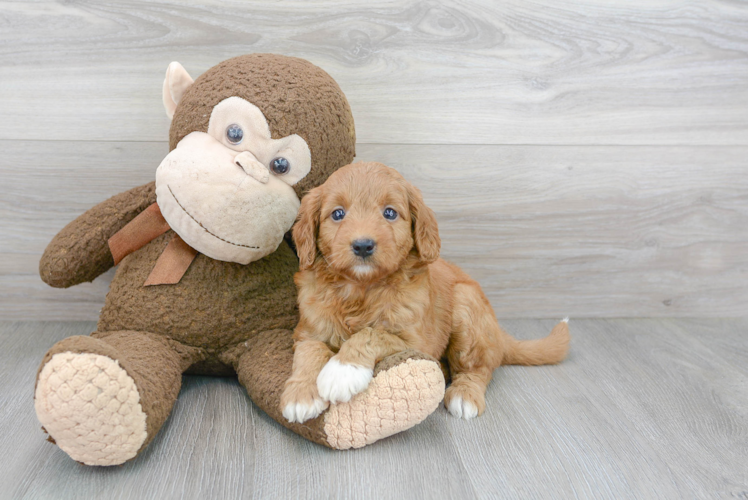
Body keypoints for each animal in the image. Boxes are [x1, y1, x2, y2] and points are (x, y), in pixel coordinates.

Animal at [284, 163, 568, 422]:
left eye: (390, 213)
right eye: (338, 214)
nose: (363, 245)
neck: (361, 289)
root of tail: (498, 334)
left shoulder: (415, 342)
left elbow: (371, 334)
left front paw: (343, 371)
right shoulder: (309, 329)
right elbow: (309, 352)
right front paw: (300, 396)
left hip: (467, 306)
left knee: (478, 368)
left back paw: (465, 394)